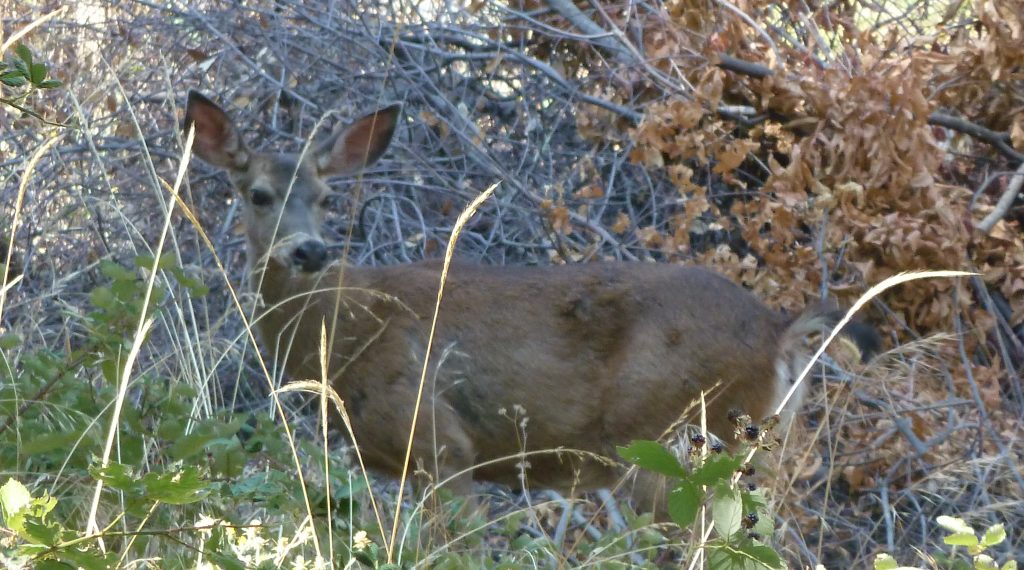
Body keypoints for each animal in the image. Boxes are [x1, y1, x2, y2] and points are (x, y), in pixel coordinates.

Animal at [182, 90, 872, 515]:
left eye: (327, 198)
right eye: (258, 194)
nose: (309, 250)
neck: (341, 330)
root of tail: (781, 332)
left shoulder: (439, 443)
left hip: (670, 441)